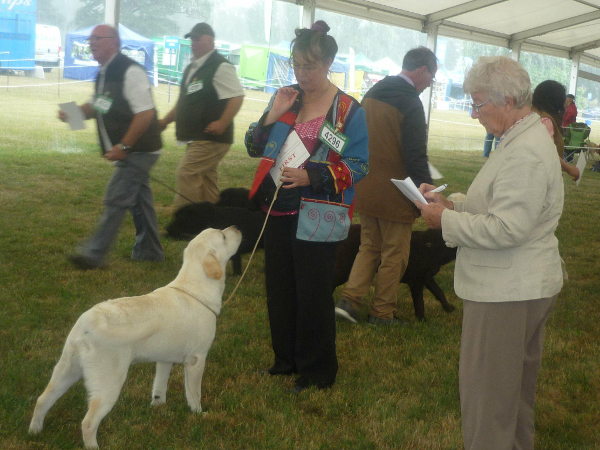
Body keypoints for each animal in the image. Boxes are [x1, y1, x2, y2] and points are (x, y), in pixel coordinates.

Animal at [29, 227, 241, 448]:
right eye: (223, 236)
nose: (236, 228)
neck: (194, 290)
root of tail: (88, 322)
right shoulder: (196, 360)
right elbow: (194, 393)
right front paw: (198, 414)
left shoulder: (164, 360)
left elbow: (159, 386)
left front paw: (158, 406)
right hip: (108, 382)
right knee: (88, 422)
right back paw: (93, 445)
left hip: (66, 370)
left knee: (42, 400)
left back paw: (35, 432)